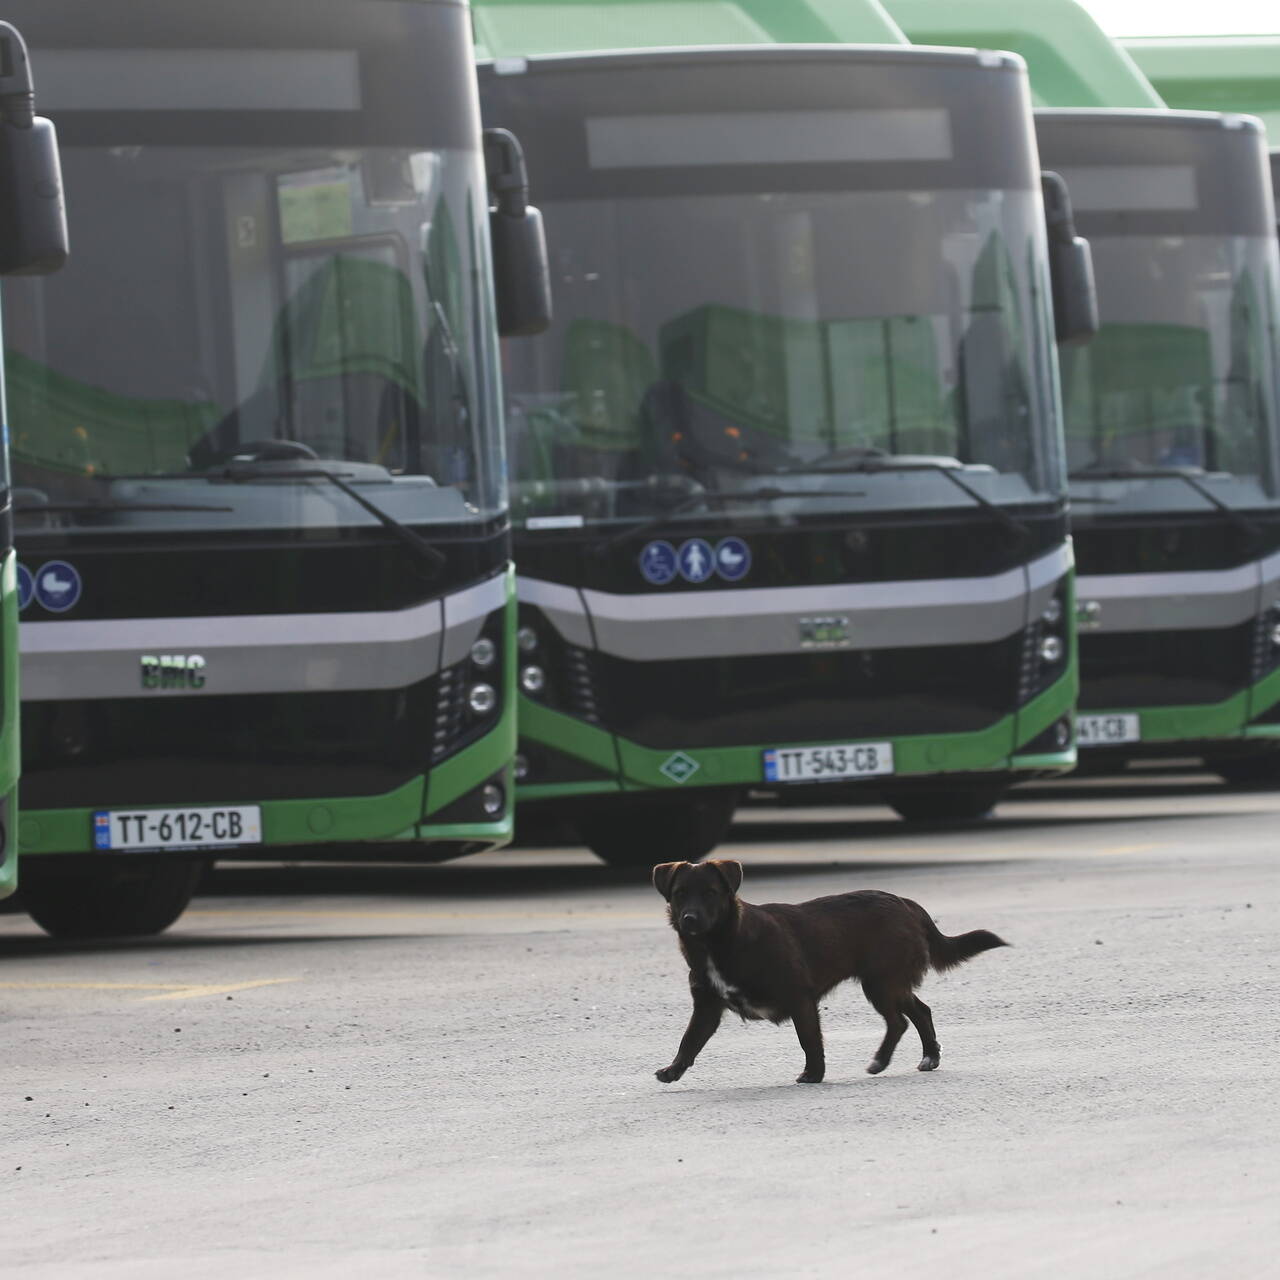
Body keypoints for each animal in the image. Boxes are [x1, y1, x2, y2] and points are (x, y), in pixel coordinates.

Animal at [655, 860, 1003, 1080]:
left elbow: (809, 1039)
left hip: (880, 982)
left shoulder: (800, 998)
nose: (689, 919)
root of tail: (905, 902)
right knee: (920, 1011)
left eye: (710, 893)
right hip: (889, 981)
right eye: (680, 893)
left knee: (899, 1021)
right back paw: (929, 1055)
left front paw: (813, 1074)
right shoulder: (707, 1007)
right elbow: (689, 1040)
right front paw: (673, 1071)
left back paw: (882, 1060)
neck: (721, 943)